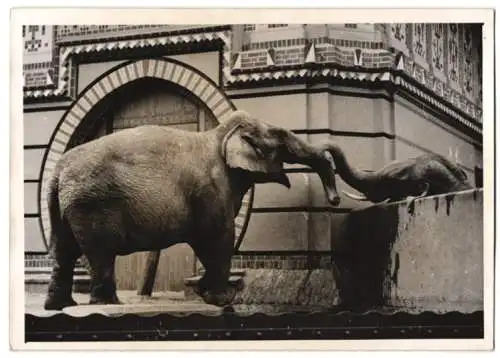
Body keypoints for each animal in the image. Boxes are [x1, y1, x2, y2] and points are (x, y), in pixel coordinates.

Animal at [43, 109, 342, 310]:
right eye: (279, 137)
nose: (335, 200)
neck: (220, 135)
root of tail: (58, 171)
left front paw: (203, 291)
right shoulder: (211, 189)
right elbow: (217, 237)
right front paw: (220, 299)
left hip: (61, 206)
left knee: (63, 251)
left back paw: (60, 306)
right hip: (93, 206)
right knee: (100, 252)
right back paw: (107, 304)